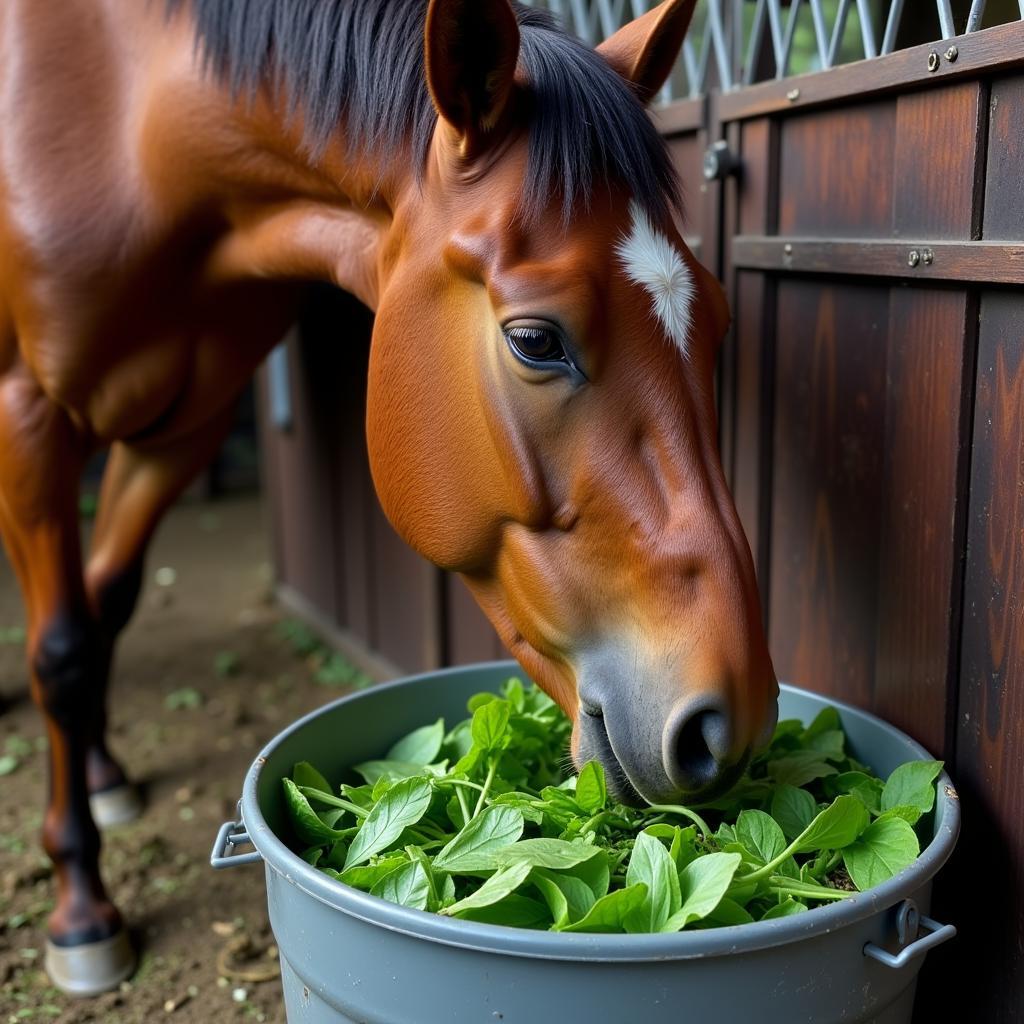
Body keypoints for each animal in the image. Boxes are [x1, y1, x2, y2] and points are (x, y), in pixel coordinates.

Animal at [0, 0, 774, 995]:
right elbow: (61, 650)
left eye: (714, 316)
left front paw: (99, 776)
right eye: (536, 339)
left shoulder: (185, 430)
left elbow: (107, 602)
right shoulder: (29, 417)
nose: (729, 718)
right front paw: (82, 908)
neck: (128, 122)